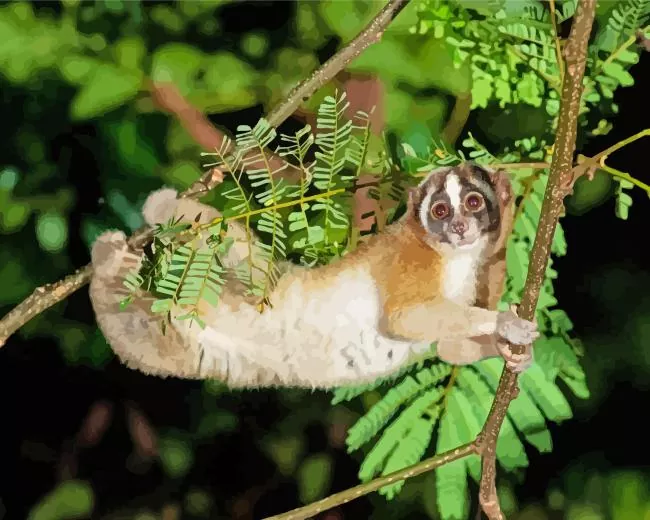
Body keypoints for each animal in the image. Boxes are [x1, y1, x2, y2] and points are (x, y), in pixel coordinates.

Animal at [88, 163, 537, 389]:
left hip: (198, 344)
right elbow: (402, 318)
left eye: (474, 203)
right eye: (440, 211)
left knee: (141, 341)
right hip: (259, 287)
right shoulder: (410, 258)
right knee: (233, 247)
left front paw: (509, 352)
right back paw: (130, 241)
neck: (453, 256)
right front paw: (506, 324)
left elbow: (448, 349)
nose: (458, 227)